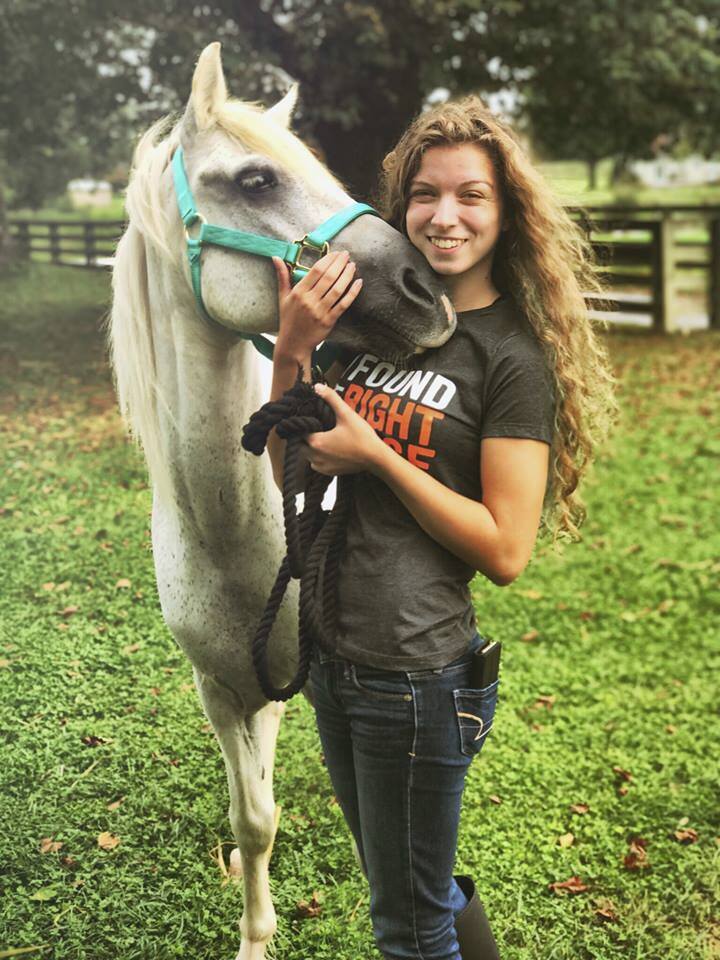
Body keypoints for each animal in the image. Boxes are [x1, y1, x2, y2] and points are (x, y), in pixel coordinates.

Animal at [109, 42, 454, 960]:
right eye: (256, 180)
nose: (426, 286)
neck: (228, 530)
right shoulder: (222, 686)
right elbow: (253, 815)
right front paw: (253, 929)